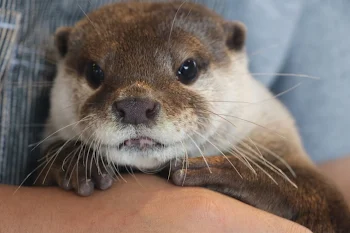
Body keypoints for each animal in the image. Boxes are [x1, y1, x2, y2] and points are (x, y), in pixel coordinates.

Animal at [36, 1, 350, 231]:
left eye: (188, 68)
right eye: (94, 71)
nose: (135, 105)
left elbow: (322, 203)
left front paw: (219, 170)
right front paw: (72, 161)